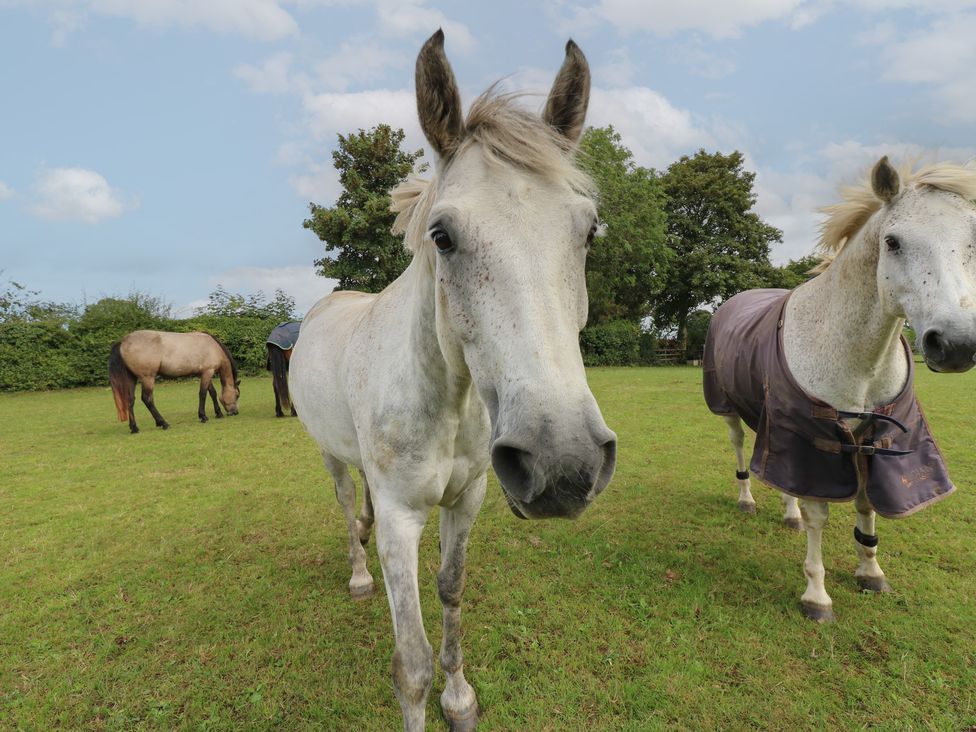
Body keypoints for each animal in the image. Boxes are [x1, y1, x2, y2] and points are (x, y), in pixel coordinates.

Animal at [108, 330, 240, 434]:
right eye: (237, 395)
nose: (235, 412)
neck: (212, 346)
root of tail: (123, 341)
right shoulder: (208, 371)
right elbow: (203, 394)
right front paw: (203, 416)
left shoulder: (204, 373)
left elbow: (212, 392)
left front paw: (218, 413)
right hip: (147, 378)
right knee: (147, 399)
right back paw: (163, 423)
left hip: (132, 379)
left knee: (130, 400)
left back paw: (134, 428)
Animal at [289, 30, 616, 731]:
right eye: (442, 235)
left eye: (589, 231)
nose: (565, 463)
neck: (445, 400)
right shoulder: (401, 519)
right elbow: (409, 662)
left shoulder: (467, 500)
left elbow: (451, 590)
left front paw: (459, 697)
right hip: (329, 453)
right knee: (345, 505)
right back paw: (358, 575)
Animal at [704, 156, 976, 622]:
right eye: (893, 242)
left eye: (973, 240)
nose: (957, 344)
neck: (859, 358)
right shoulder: (818, 439)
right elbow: (819, 515)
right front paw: (816, 596)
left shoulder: (873, 438)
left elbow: (866, 504)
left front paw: (870, 572)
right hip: (731, 410)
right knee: (740, 448)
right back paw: (746, 500)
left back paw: (788, 513)